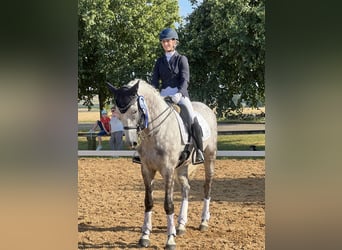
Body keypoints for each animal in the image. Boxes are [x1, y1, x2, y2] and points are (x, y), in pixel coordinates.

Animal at [107, 79, 216, 249]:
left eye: (134, 111)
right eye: (118, 113)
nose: (131, 143)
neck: (155, 132)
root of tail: (206, 108)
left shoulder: (168, 170)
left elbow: (168, 204)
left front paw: (170, 239)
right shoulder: (146, 170)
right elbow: (148, 202)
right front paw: (145, 236)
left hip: (209, 158)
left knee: (207, 186)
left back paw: (204, 222)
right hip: (182, 166)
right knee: (186, 189)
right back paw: (181, 225)